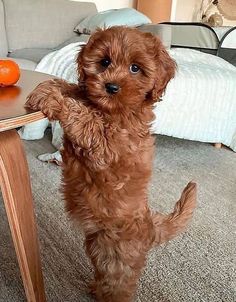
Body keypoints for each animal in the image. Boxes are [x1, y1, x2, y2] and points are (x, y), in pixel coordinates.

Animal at [24, 26, 196, 302]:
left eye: (135, 68)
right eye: (104, 62)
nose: (111, 86)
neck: (114, 110)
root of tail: (149, 226)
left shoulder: (107, 147)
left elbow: (82, 116)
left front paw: (54, 99)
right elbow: (77, 91)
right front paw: (53, 85)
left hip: (118, 255)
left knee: (120, 284)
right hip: (97, 245)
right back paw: (95, 288)